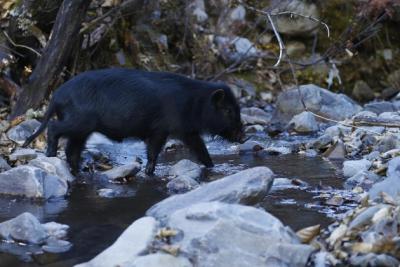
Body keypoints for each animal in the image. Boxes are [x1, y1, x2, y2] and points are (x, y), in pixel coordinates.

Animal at [25, 68, 244, 175]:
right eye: (227, 110)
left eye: (238, 108)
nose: (243, 136)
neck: (193, 104)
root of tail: (57, 96)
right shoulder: (160, 129)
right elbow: (153, 151)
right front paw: (148, 172)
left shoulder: (187, 132)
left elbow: (201, 151)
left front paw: (212, 167)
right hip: (79, 122)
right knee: (53, 128)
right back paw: (50, 154)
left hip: (83, 130)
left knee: (72, 150)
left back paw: (76, 172)